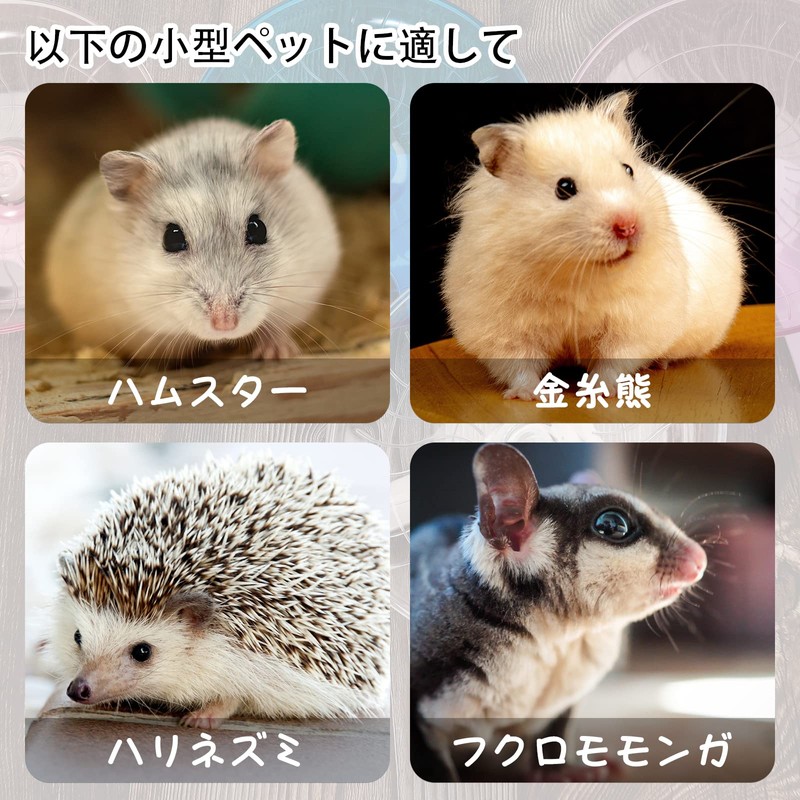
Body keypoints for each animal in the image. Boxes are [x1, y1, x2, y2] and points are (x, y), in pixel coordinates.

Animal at [442, 92, 745, 399]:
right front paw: (527, 395)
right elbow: (519, 364)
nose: (629, 226)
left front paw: (600, 390)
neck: (577, 271)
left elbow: (614, 360)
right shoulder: (502, 325)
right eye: (564, 188)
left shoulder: (634, 321)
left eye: (628, 169)